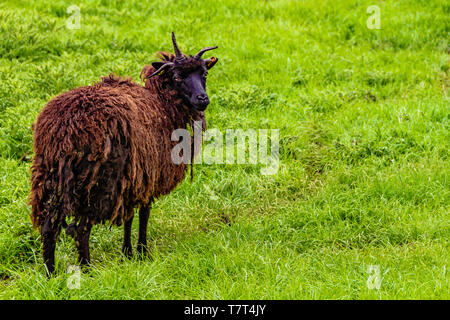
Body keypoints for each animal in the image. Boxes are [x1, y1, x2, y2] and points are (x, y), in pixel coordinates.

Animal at [29, 33, 219, 276]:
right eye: (177, 77)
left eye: (204, 74)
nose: (202, 99)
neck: (163, 104)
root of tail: (64, 129)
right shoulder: (148, 175)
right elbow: (144, 214)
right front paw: (142, 252)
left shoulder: (132, 180)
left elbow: (128, 217)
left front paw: (127, 254)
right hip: (97, 182)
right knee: (81, 229)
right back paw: (87, 270)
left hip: (50, 176)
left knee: (48, 227)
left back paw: (50, 273)